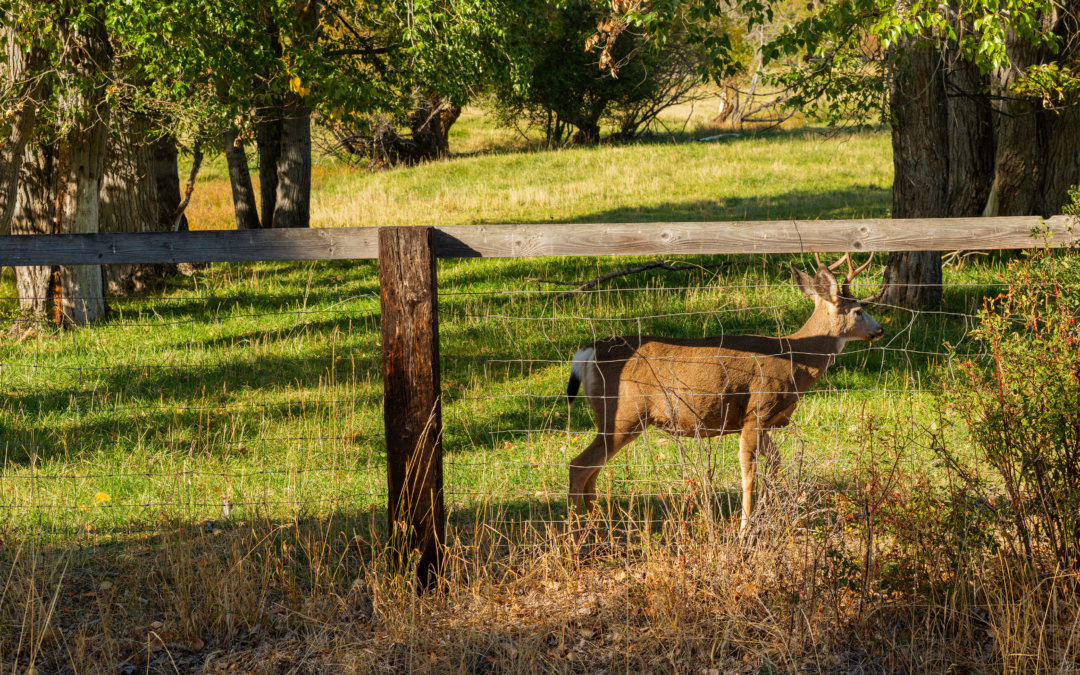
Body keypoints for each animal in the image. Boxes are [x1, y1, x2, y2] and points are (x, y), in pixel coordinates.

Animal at [564, 253, 883, 533]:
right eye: (858, 311)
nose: (879, 330)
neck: (797, 359)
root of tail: (588, 351)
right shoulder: (756, 411)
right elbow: (748, 476)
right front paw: (745, 530)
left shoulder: (763, 421)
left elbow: (775, 463)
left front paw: (769, 514)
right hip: (624, 413)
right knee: (579, 466)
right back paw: (575, 536)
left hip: (615, 417)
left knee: (592, 471)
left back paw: (599, 529)